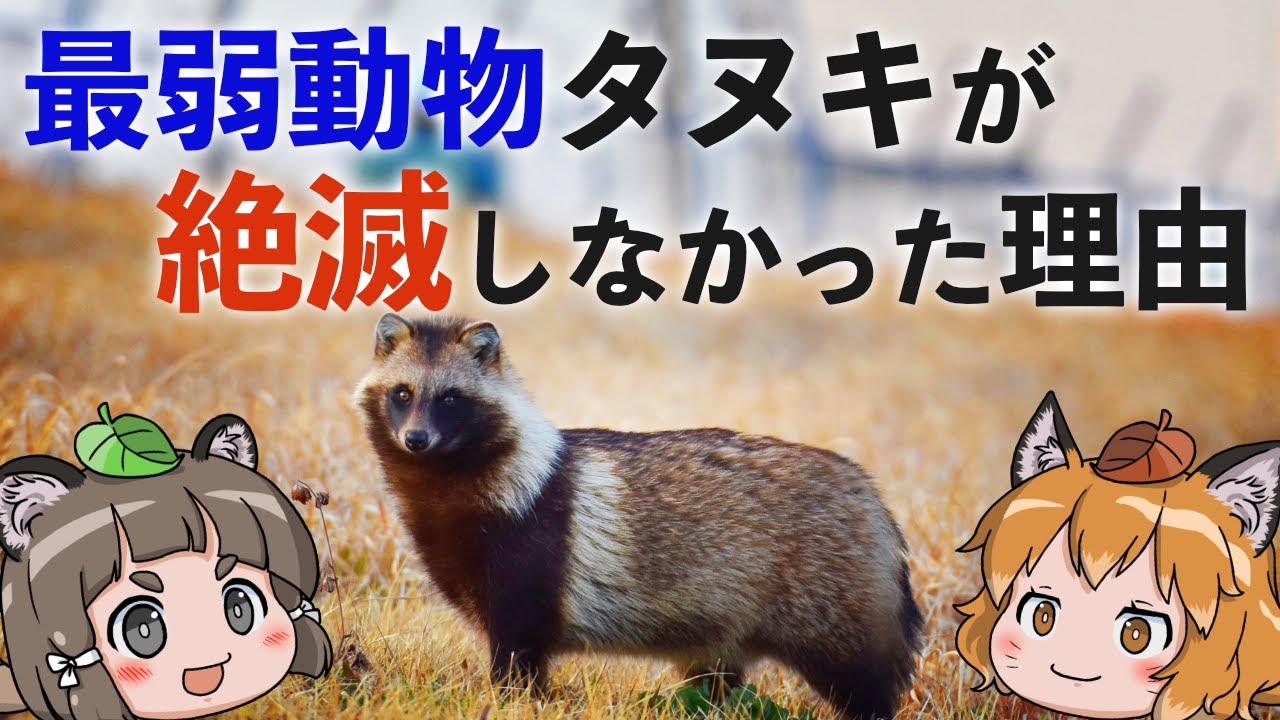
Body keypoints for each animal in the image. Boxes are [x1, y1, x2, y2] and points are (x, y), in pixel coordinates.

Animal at [355, 313, 922, 719]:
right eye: (402, 393)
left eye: (451, 398)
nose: (416, 439)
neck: (444, 484)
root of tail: (869, 494)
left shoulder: (527, 570)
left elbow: (517, 664)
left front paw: (511, 704)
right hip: (725, 632)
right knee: (714, 687)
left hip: (834, 606)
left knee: (866, 686)